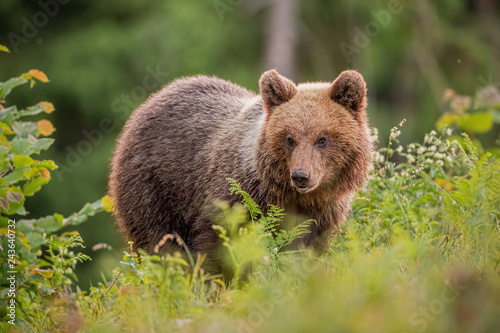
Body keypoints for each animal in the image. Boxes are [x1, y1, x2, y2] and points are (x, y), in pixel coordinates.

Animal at [110, 69, 376, 262]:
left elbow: (304, 249)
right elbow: (219, 242)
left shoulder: (322, 213)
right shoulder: (237, 197)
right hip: (155, 186)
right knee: (158, 240)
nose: (301, 175)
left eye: (322, 139)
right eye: (289, 139)